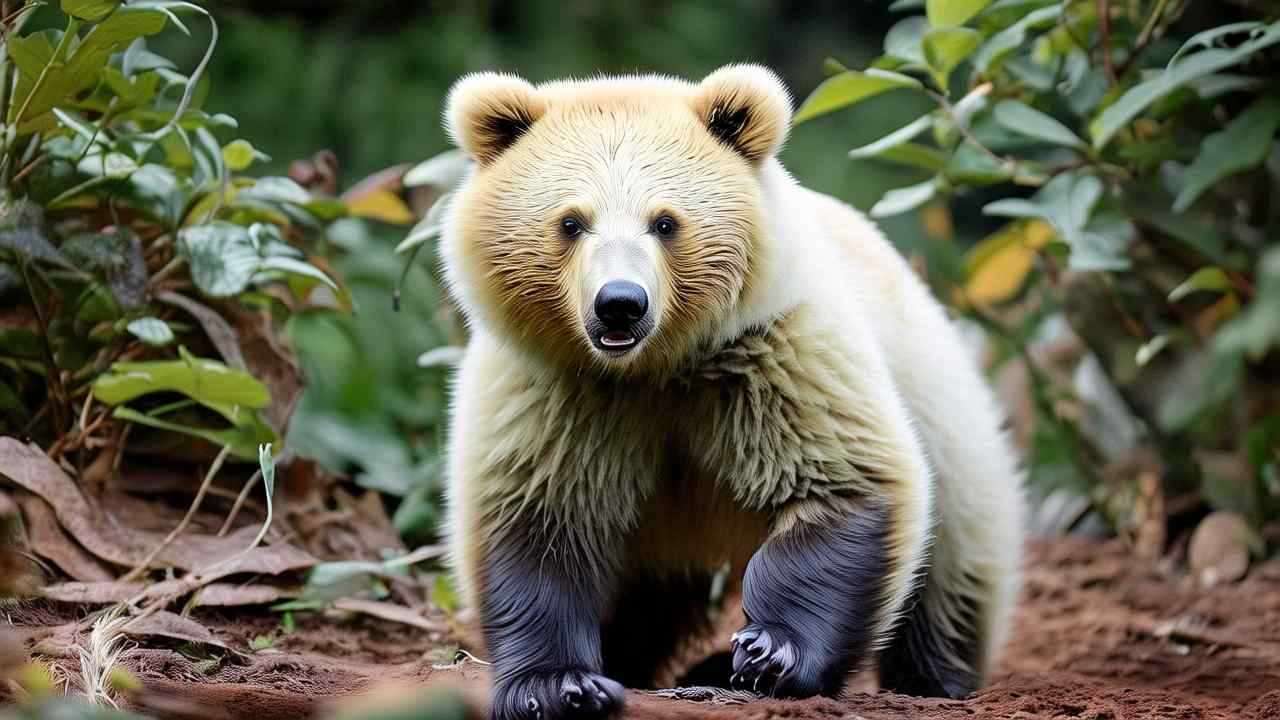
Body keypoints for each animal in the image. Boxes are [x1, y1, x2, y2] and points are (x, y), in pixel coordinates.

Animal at [435, 63, 1024, 717]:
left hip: (942, 407)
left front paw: (771, 653)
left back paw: (930, 676)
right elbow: (538, 526)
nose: (620, 304)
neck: (653, 368)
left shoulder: (775, 357)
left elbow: (840, 485)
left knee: (954, 568)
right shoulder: (556, 392)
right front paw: (559, 686)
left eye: (665, 222)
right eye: (571, 222)